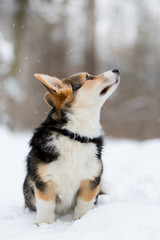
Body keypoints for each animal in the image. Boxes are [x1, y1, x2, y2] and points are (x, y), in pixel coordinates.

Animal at [23, 68, 119, 224]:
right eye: (88, 77)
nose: (116, 69)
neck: (75, 135)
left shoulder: (90, 180)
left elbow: (84, 204)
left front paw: (81, 220)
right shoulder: (45, 182)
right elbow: (46, 205)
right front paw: (43, 224)